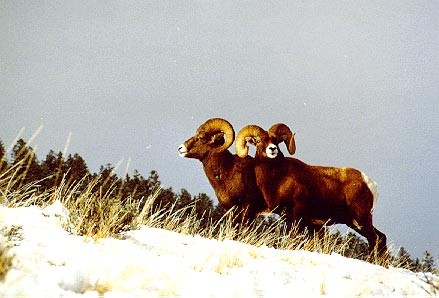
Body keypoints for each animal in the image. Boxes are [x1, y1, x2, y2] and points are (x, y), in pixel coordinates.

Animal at [237, 123, 388, 254]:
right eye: (258, 141)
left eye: (276, 140)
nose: (272, 149)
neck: (278, 178)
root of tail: (369, 183)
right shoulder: (290, 218)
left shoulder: (296, 216)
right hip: (354, 222)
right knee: (381, 238)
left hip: (362, 219)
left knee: (374, 240)